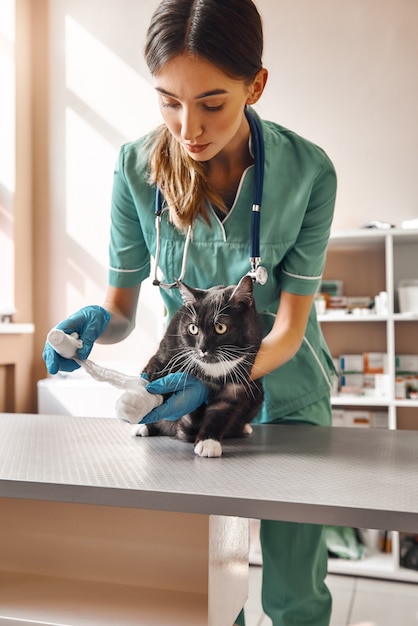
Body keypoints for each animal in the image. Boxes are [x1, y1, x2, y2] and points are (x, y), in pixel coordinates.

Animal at [136, 276, 262, 456]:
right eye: (193, 328)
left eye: (220, 327)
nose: (202, 347)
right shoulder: (166, 351)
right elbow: (154, 379)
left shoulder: (238, 382)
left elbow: (220, 412)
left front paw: (208, 442)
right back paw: (145, 427)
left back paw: (242, 428)